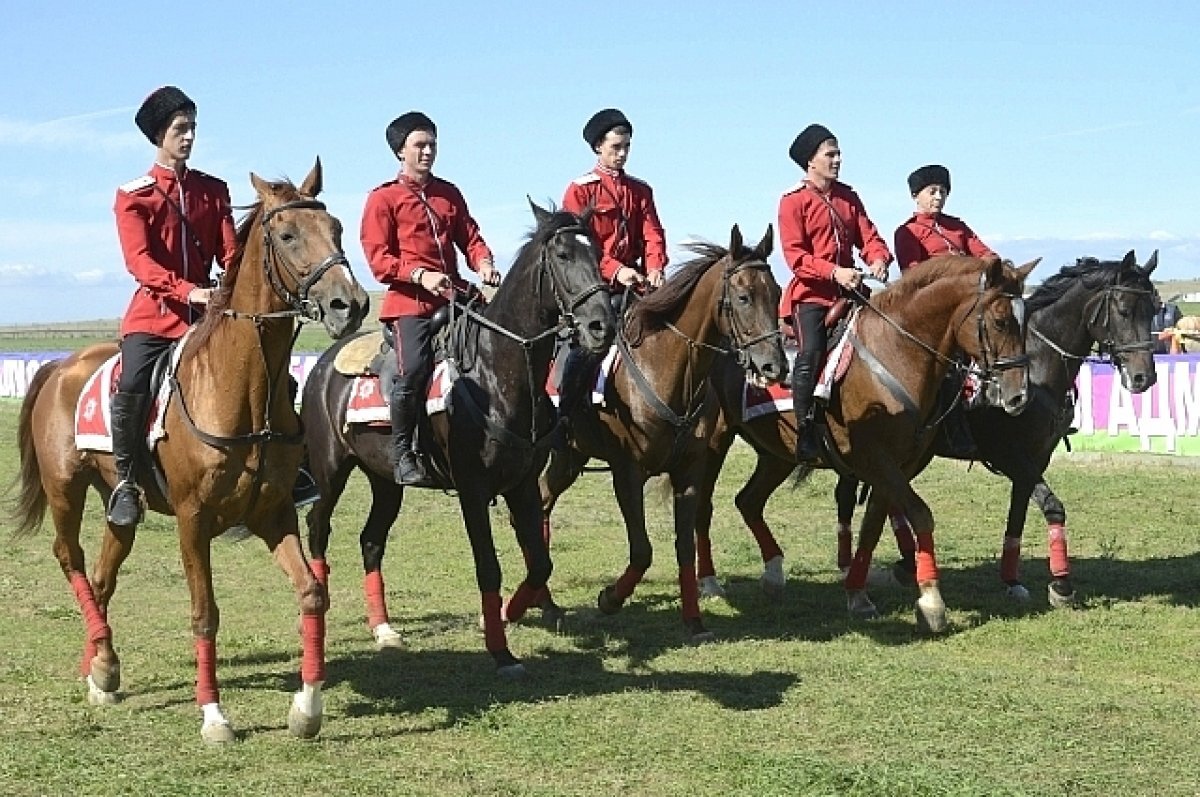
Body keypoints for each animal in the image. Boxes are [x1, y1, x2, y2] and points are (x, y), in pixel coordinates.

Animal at [9, 160, 367, 739]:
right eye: (287, 236)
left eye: (336, 229)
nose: (349, 304)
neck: (240, 389)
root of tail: (61, 365)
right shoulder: (192, 520)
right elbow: (205, 614)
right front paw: (214, 716)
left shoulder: (274, 513)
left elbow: (313, 592)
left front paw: (306, 708)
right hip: (65, 489)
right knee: (72, 559)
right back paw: (101, 661)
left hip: (120, 503)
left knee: (104, 574)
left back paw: (102, 668)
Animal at [300, 202, 619, 676]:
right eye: (562, 255)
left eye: (597, 254)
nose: (602, 326)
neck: (496, 373)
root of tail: (321, 366)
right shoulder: (473, 490)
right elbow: (489, 568)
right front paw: (501, 650)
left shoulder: (523, 486)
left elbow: (540, 563)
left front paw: (512, 612)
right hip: (330, 472)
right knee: (318, 528)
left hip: (386, 482)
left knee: (371, 541)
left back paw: (384, 630)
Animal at [537, 222, 787, 643]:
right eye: (743, 297)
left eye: (778, 294)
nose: (775, 366)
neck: (666, 369)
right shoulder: (627, 473)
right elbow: (642, 551)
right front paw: (610, 598)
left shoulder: (690, 473)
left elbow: (684, 545)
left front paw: (694, 620)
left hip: (570, 456)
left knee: (542, 499)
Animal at [700, 258, 1036, 633]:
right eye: (1000, 320)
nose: (1018, 395)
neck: (896, 352)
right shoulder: (873, 458)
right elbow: (920, 515)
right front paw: (932, 602)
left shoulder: (897, 466)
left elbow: (872, 526)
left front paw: (858, 594)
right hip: (710, 445)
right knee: (702, 508)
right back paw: (709, 583)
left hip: (777, 455)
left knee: (748, 501)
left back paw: (773, 575)